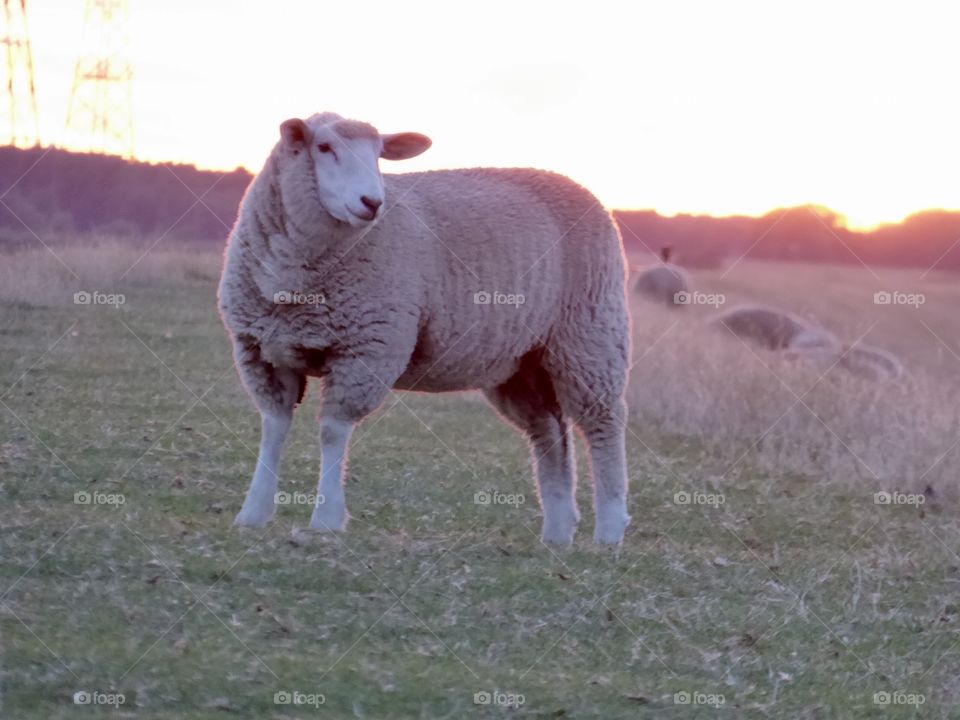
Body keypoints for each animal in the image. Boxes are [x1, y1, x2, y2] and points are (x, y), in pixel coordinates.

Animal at [217, 112, 632, 546]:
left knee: (603, 424)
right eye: (324, 148)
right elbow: (273, 429)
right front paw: (253, 513)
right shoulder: (261, 351)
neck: (294, 278)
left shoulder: (367, 349)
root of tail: (574, 183)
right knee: (549, 433)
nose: (372, 202)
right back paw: (557, 532)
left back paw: (609, 530)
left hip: (589, 333)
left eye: (379, 153)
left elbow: (332, 432)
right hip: (520, 362)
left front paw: (326, 519)